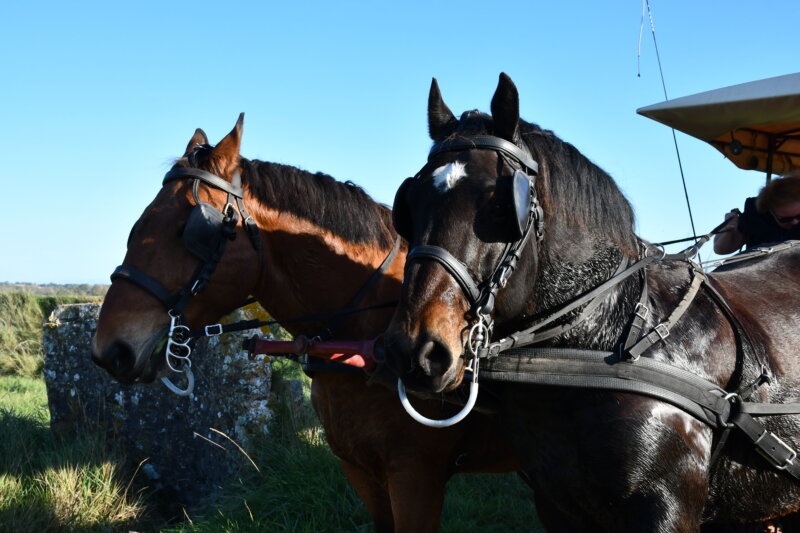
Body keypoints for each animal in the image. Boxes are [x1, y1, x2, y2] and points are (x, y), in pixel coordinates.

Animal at [92, 116, 520, 532]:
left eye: (191, 229)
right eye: (139, 224)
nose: (109, 349)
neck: (367, 333)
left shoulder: (415, 477)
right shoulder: (360, 470)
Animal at [386, 76, 800, 532]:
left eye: (499, 206)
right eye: (409, 202)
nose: (416, 351)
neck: (604, 342)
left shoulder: (667, 511)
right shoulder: (556, 504)